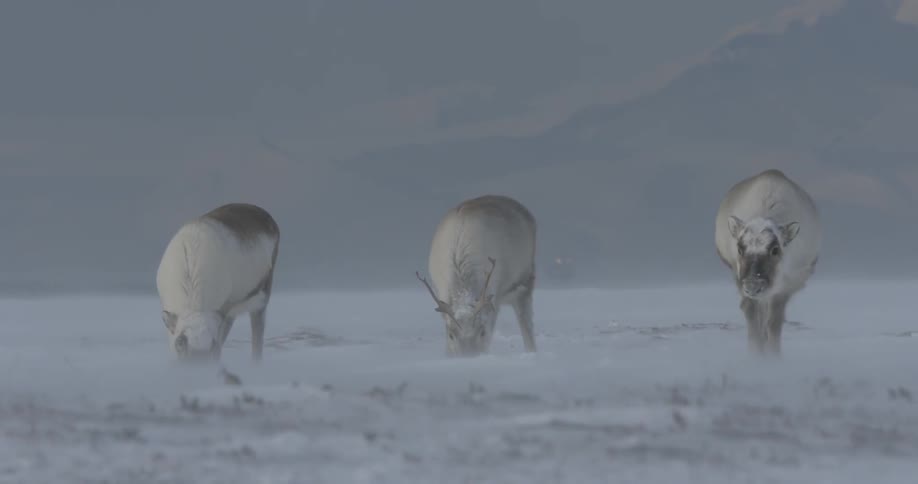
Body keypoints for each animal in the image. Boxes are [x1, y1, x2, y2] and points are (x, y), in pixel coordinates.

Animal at [156, 203, 279, 362]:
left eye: (212, 345)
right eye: (180, 342)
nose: (199, 361)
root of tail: (267, 216)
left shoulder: (224, 309)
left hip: (261, 298)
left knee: (257, 336)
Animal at [416, 195, 538, 357]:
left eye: (482, 332)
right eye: (451, 335)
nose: (468, 357)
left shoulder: (494, 298)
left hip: (524, 283)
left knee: (527, 325)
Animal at [715, 169, 822, 355]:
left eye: (775, 249)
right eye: (740, 249)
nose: (753, 285)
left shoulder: (787, 284)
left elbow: (774, 320)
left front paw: (773, 355)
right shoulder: (740, 278)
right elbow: (751, 314)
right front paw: (755, 353)